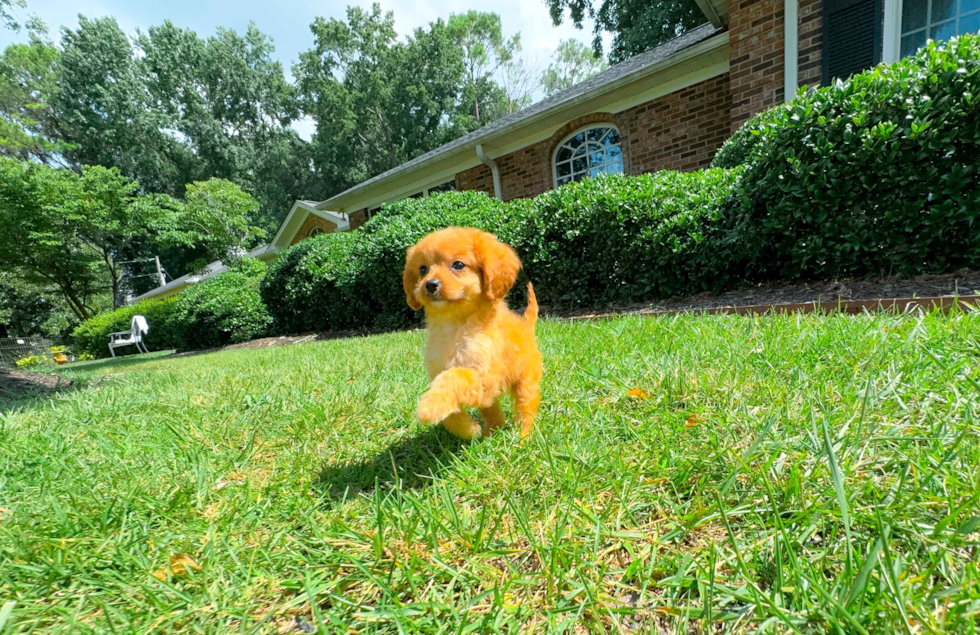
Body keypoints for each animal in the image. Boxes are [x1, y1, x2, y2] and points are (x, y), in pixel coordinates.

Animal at [404, 229, 544, 442]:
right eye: (423, 269)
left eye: (458, 265)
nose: (430, 284)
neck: (454, 326)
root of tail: (525, 327)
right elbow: (450, 412)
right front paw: (468, 429)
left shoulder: (485, 379)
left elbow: (454, 376)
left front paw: (429, 407)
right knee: (494, 413)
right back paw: (488, 433)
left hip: (526, 382)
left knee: (525, 409)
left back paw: (523, 438)